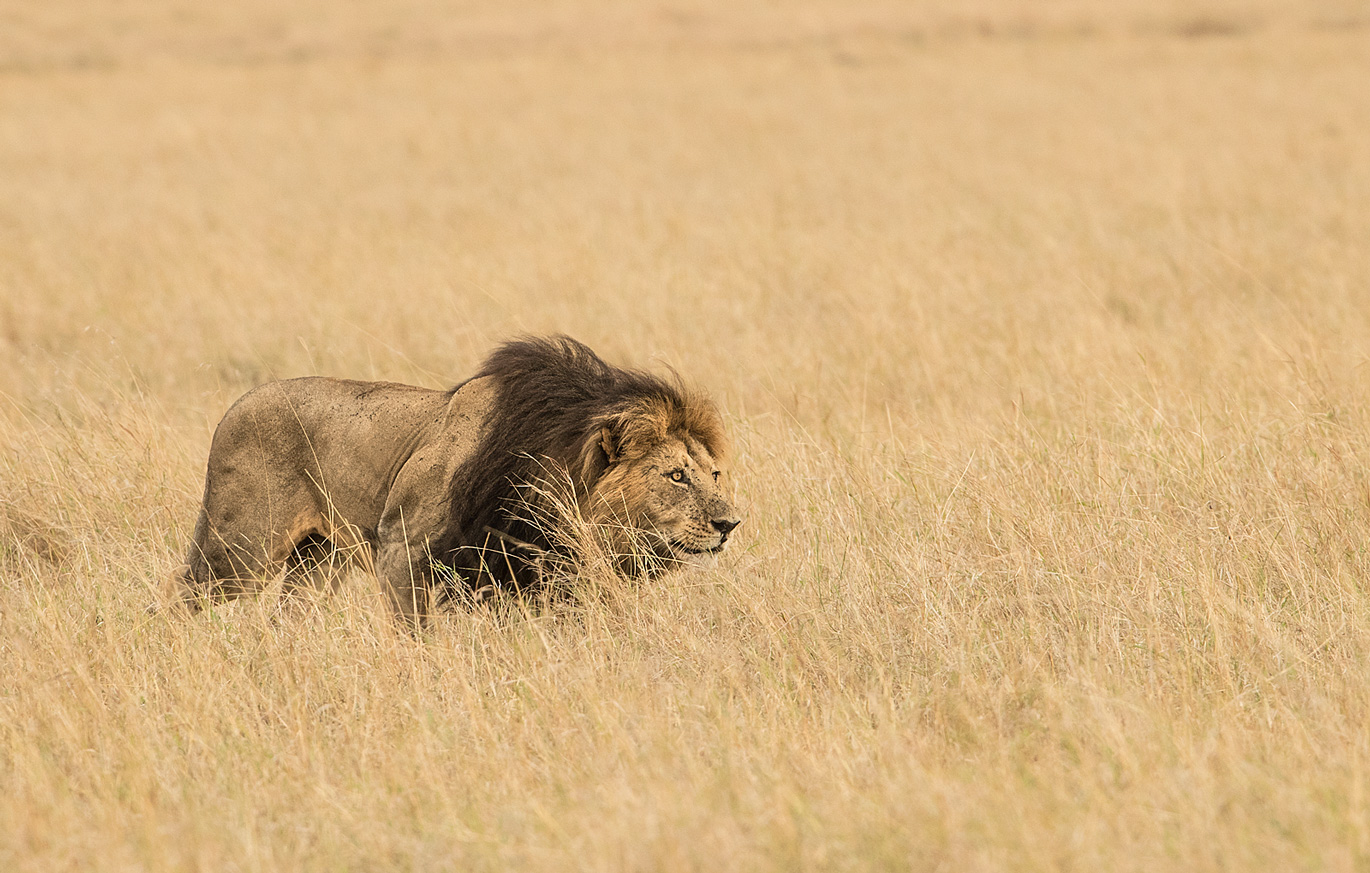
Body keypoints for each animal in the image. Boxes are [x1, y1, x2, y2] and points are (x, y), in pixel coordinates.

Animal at [179, 335, 750, 627]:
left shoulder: (536, 578)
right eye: (676, 476)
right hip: (242, 550)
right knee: (184, 594)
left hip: (319, 557)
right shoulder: (403, 549)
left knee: (289, 614)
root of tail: (236, 405)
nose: (730, 524)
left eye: (714, 473)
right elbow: (416, 635)